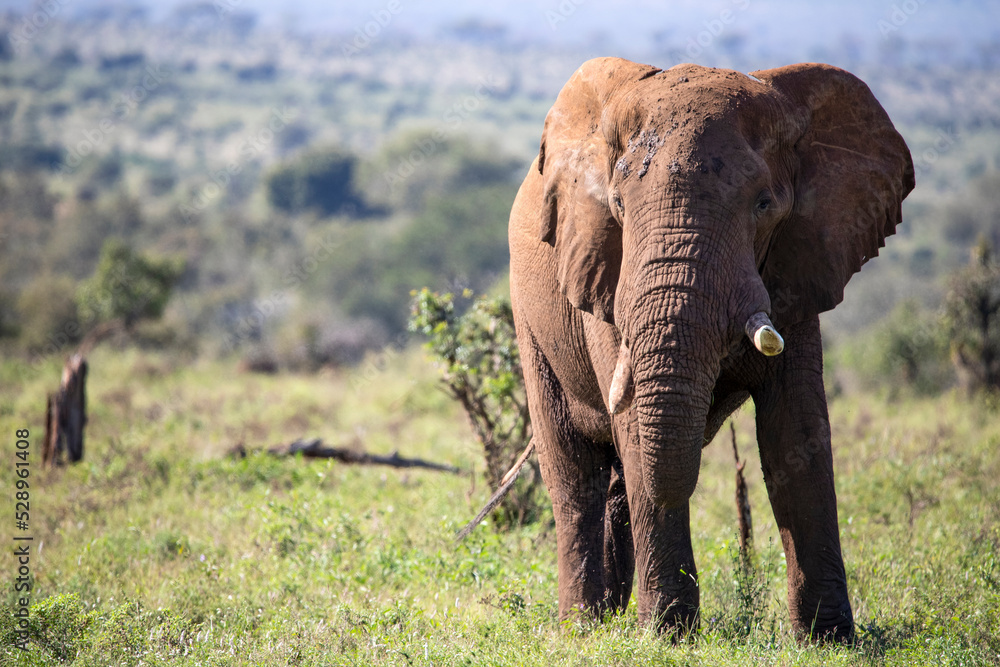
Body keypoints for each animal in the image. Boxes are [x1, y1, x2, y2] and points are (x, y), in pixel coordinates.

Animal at [507, 57, 914, 642]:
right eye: (617, 205)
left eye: (764, 205)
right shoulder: (604, 273)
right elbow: (636, 434)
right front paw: (669, 636)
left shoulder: (800, 261)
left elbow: (797, 432)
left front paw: (829, 639)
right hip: (530, 322)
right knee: (575, 476)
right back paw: (584, 625)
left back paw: (611, 614)